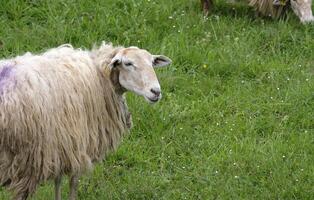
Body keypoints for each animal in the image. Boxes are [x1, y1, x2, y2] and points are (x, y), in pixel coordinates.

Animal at [0, 41, 172, 199]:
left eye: (152, 63)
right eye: (128, 63)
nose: (156, 91)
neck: (100, 74)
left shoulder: (61, 144)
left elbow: (58, 181)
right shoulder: (76, 142)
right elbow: (73, 182)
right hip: (25, 158)